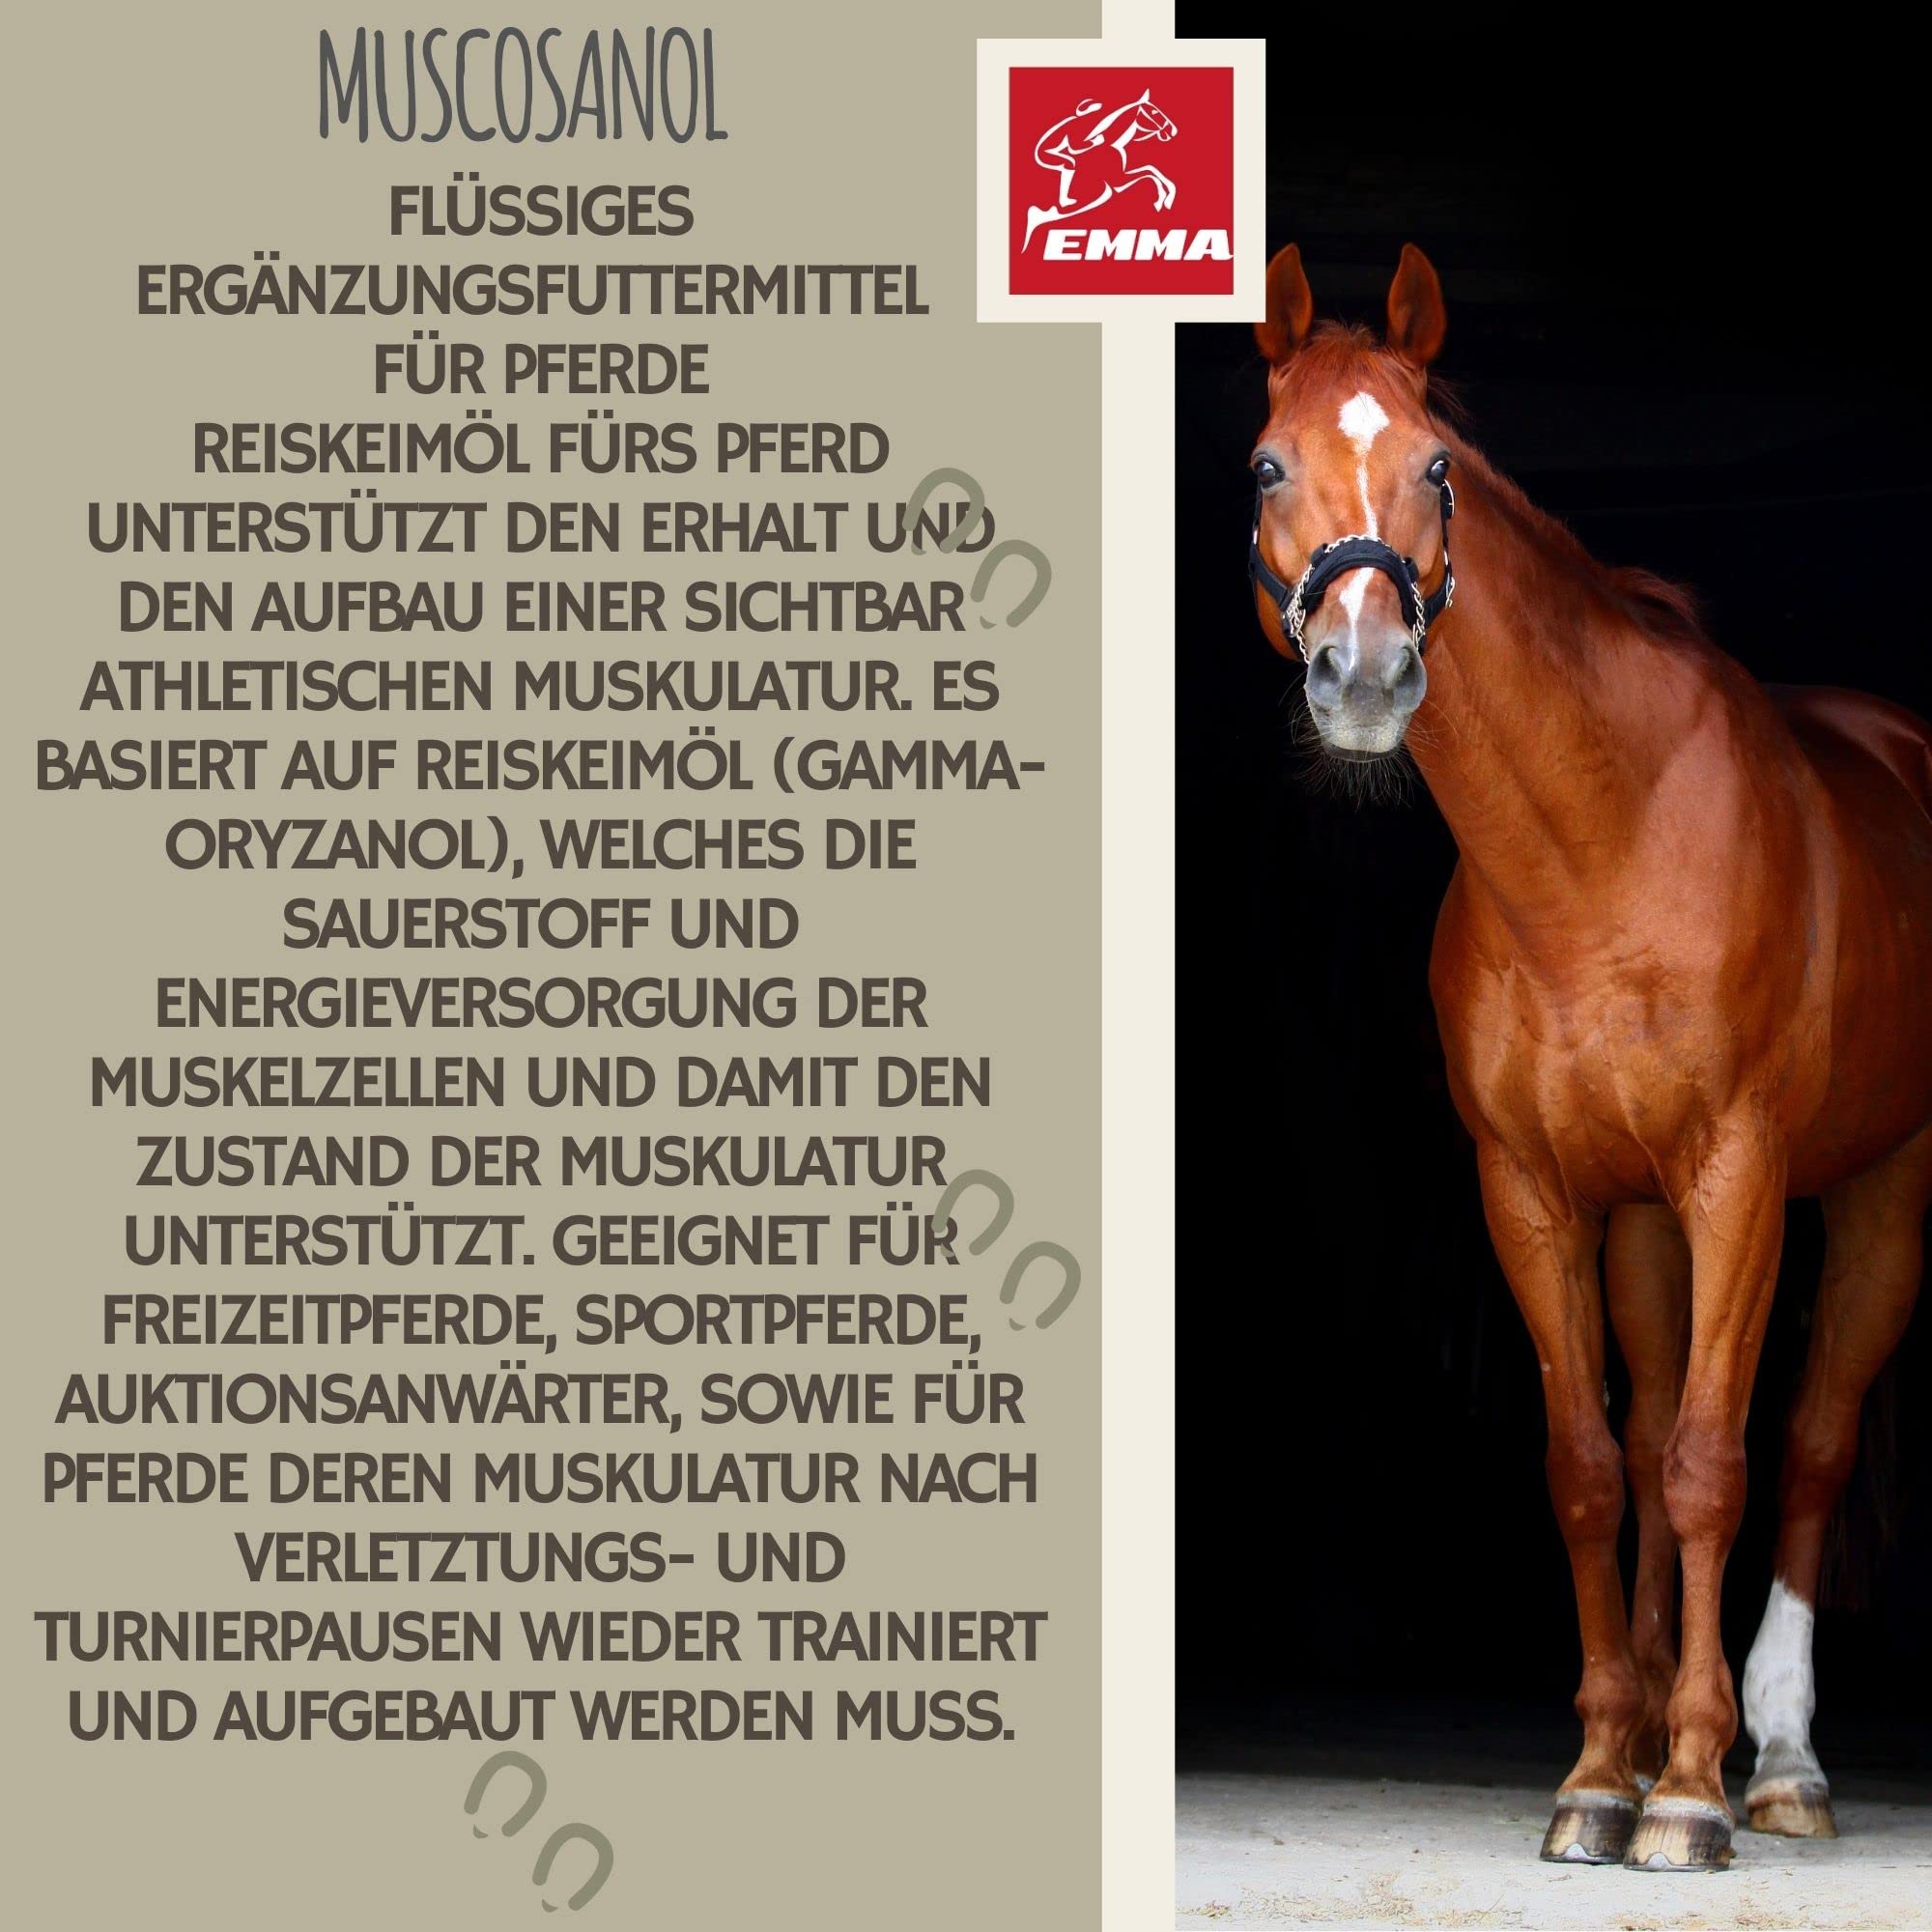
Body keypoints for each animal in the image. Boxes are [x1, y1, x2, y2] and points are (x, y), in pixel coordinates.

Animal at [1022, 91, 1177, 252]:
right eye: (1154, 112)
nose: (1173, 130)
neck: (1112, 143)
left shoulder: (1121, 178)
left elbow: (1151, 169)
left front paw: (1167, 198)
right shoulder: (1118, 181)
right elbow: (1149, 173)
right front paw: (1161, 200)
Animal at [1246, 242, 1932, 1871]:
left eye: (1437, 464)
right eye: (1264, 465)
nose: (1363, 671)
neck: (1599, 849)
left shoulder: (1738, 1172)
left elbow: (1710, 1466)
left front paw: (1687, 1789)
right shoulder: (1537, 1192)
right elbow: (1593, 1472)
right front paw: (1603, 1774)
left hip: (1880, 1192)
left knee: (1807, 1445)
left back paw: (1781, 1762)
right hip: (1642, 1230)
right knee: (1663, 1420)